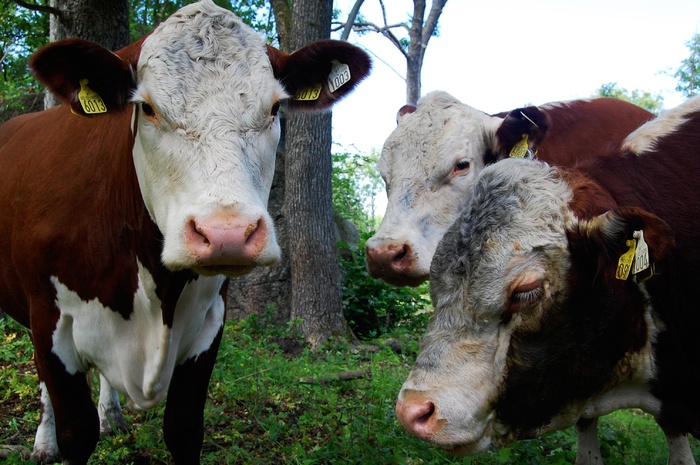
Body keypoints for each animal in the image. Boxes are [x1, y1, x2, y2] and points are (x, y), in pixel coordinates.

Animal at [0, 1, 372, 462]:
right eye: (147, 108)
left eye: (274, 109)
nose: (227, 234)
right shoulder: (49, 321)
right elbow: (75, 431)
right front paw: (56, 437)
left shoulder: (210, 325)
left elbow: (182, 429)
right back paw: (44, 440)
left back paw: (112, 416)